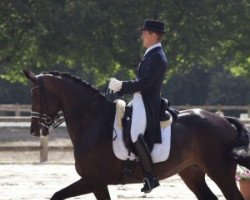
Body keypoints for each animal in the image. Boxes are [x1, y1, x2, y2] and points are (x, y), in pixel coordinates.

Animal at [23, 69, 250, 200]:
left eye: (36, 96)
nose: (34, 130)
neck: (94, 122)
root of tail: (224, 120)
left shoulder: (93, 179)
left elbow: (56, 196)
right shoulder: (98, 183)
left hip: (220, 172)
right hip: (192, 174)